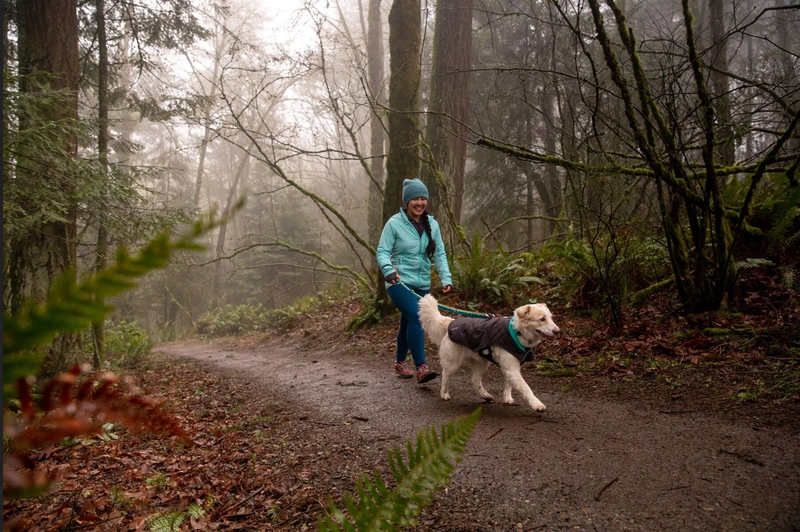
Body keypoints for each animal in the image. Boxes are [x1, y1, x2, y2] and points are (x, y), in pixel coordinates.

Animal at [418, 296, 564, 412]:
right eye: (542, 319)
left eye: (551, 318)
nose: (558, 331)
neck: (518, 333)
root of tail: (451, 322)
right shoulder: (512, 369)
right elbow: (526, 388)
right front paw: (536, 404)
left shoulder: (511, 368)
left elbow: (508, 385)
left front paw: (507, 398)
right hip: (453, 364)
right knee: (445, 375)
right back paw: (444, 393)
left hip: (482, 363)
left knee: (475, 380)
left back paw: (485, 395)